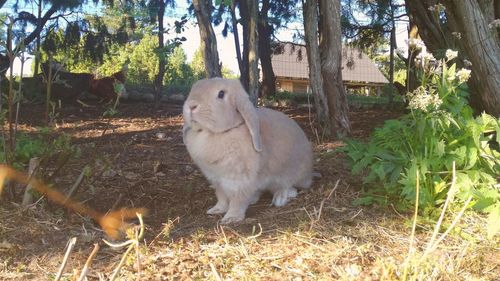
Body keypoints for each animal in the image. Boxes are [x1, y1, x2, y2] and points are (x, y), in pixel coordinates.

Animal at [184, 77, 312, 222]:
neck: (220, 133)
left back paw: (280, 197)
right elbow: (221, 197)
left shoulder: (240, 181)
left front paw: (231, 218)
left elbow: (237, 200)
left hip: (292, 174)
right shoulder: (217, 180)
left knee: (290, 186)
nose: (191, 106)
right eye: (193, 88)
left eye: (221, 94)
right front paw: (216, 210)